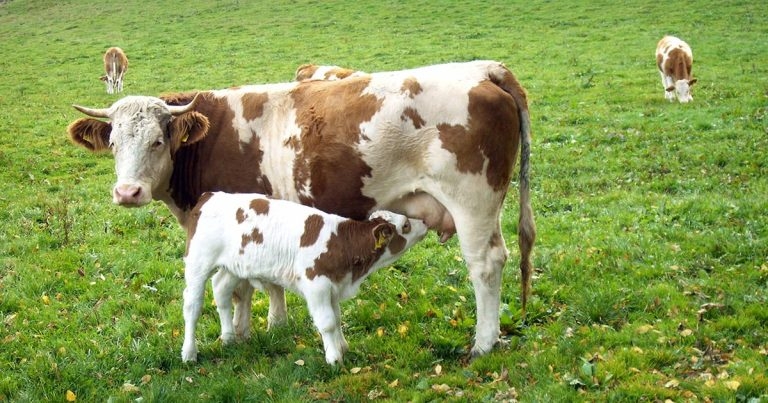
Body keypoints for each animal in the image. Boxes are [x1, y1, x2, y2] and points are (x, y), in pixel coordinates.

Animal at [182, 192, 428, 364]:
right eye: (406, 225)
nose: (425, 223)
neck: (342, 243)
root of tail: (210, 196)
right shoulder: (316, 286)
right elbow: (327, 322)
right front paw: (334, 358)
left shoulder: (334, 286)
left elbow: (337, 318)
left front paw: (342, 347)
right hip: (197, 263)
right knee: (192, 306)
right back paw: (189, 353)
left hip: (234, 267)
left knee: (221, 290)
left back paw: (228, 337)